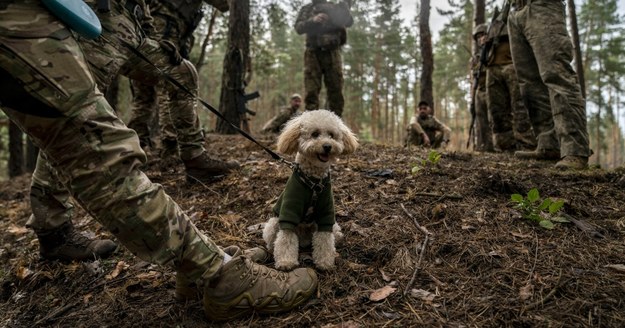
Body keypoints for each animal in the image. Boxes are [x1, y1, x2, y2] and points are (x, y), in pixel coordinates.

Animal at [260, 109, 358, 270]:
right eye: (315, 134)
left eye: (331, 135)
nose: (327, 146)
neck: (314, 182)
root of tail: (304, 237)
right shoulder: (289, 212)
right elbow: (286, 238)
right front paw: (286, 262)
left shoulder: (326, 214)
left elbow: (324, 239)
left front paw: (325, 262)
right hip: (273, 223)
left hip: (331, 225)